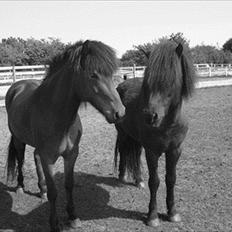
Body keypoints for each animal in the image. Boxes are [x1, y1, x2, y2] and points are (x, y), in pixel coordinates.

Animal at [5, 40, 125, 232]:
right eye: (93, 75)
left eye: (111, 74)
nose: (120, 113)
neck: (57, 114)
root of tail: (18, 85)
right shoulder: (49, 158)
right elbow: (55, 192)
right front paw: (54, 224)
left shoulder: (71, 155)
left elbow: (69, 185)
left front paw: (73, 217)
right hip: (18, 140)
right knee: (21, 159)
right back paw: (20, 187)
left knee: (35, 157)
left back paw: (42, 190)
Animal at [114, 39, 196, 227]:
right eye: (148, 81)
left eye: (171, 79)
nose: (150, 116)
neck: (168, 124)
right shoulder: (152, 151)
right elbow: (155, 181)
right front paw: (152, 216)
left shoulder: (175, 150)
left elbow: (171, 179)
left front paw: (172, 213)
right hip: (123, 133)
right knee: (123, 151)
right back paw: (122, 177)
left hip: (135, 138)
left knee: (135, 154)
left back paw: (139, 180)